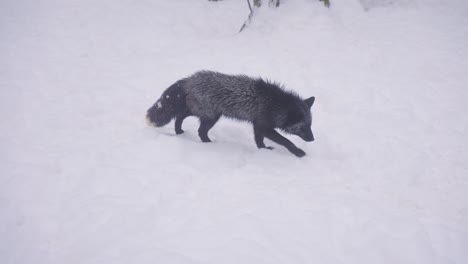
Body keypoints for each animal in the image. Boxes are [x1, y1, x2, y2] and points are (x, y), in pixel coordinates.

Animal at [146, 70, 314, 157]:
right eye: (302, 127)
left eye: (310, 124)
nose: (312, 139)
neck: (275, 104)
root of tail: (190, 79)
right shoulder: (264, 126)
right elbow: (286, 141)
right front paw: (298, 152)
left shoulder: (258, 125)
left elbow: (259, 140)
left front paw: (263, 150)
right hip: (211, 116)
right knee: (200, 130)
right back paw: (209, 144)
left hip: (201, 112)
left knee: (180, 116)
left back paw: (179, 131)